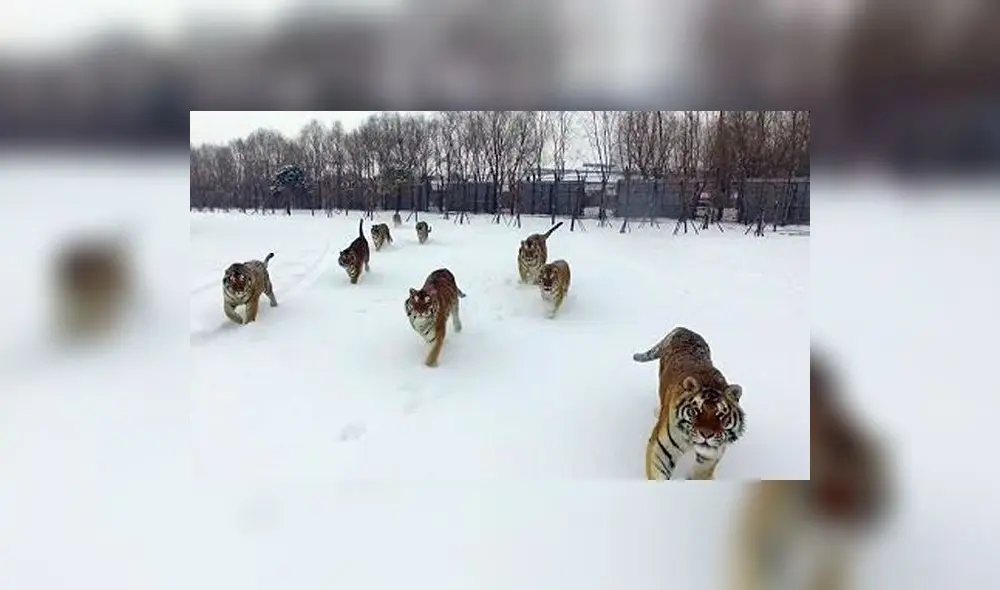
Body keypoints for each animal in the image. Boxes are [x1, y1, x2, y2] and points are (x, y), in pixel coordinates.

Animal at [632, 326, 746, 480]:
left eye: (720, 415)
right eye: (695, 411)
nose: (706, 434)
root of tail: (683, 328)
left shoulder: (710, 457)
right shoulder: (661, 449)